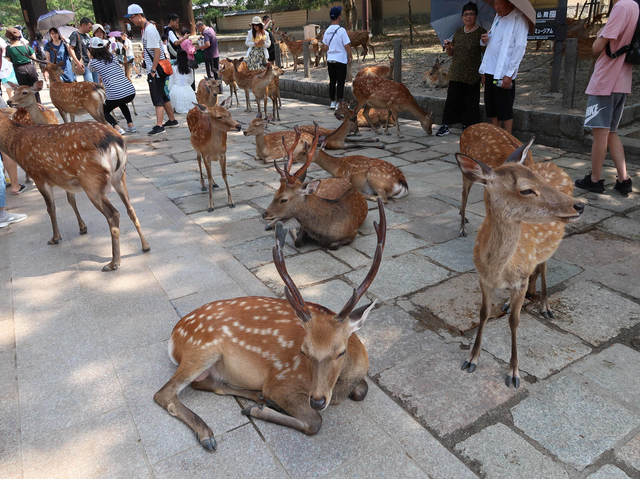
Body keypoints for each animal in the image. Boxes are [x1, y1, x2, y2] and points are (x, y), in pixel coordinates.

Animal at [0, 110, 150, 272]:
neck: (15, 145)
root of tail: (115, 143)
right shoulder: (65, 180)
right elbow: (71, 200)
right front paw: (82, 227)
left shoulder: (38, 176)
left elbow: (51, 208)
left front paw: (55, 238)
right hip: (119, 175)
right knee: (130, 208)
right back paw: (145, 246)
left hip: (90, 178)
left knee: (113, 214)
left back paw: (113, 262)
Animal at [154, 198, 384, 450]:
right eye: (304, 351)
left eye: (341, 352)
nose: (318, 400)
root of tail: (174, 336)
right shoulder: (280, 382)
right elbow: (315, 421)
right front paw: (258, 411)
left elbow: (362, 389)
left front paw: (259, 407)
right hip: (201, 350)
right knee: (164, 393)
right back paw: (208, 433)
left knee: (205, 384)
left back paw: (257, 399)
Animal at [456, 141, 584, 388]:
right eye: (526, 190)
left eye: (540, 181)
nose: (580, 206)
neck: (498, 270)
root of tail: (554, 166)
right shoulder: (483, 278)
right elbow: (483, 314)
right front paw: (471, 359)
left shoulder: (520, 279)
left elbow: (514, 322)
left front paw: (514, 373)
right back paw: (513, 300)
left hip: (549, 247)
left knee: (544, 266)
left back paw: (545, 306)